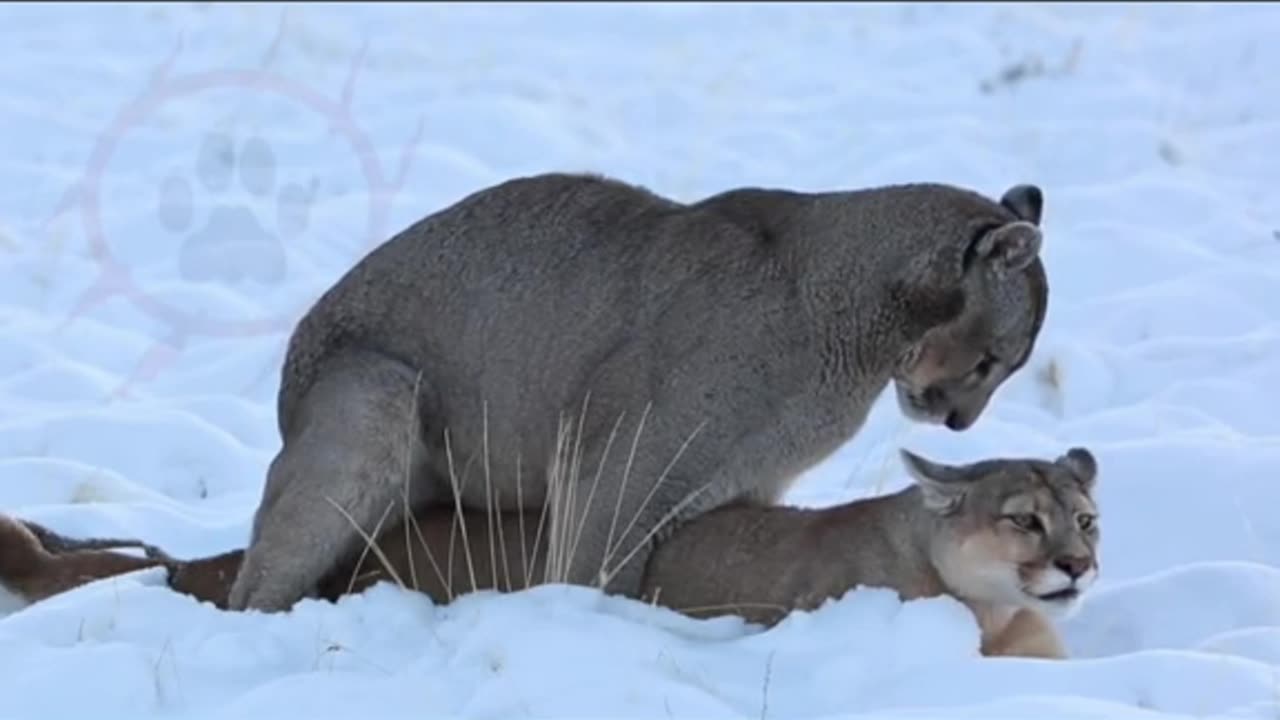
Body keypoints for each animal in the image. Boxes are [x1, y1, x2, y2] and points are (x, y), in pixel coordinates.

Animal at [230, 169, 1049, 609]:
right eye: (990, 361)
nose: (960, 421)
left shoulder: (746, 485)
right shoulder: (620, 464)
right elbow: (590, 572)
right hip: (378, 395)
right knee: (257, 578)